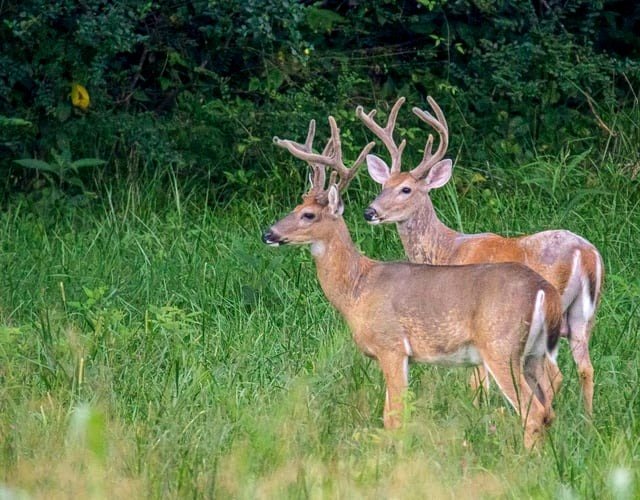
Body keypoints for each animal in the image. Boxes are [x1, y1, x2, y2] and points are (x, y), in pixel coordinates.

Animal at [262, 114, 564, 449]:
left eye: (309, 215)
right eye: (295, 208)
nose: (269, 233)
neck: (358, 288)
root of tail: (546, 292)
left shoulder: (391, 345)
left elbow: (393, 417)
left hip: (501, 347)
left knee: (533, 411)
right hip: (533, 353)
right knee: (548, 408)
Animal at [357, 96, 603, 417]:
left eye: (406, 189)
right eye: (383, 186)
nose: (370, 212)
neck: (447, 250)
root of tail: (584, 254)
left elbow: (477, 381)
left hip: (549, 314)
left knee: (554, 375)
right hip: (583, 317)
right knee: (586, 368)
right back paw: (588, 420)